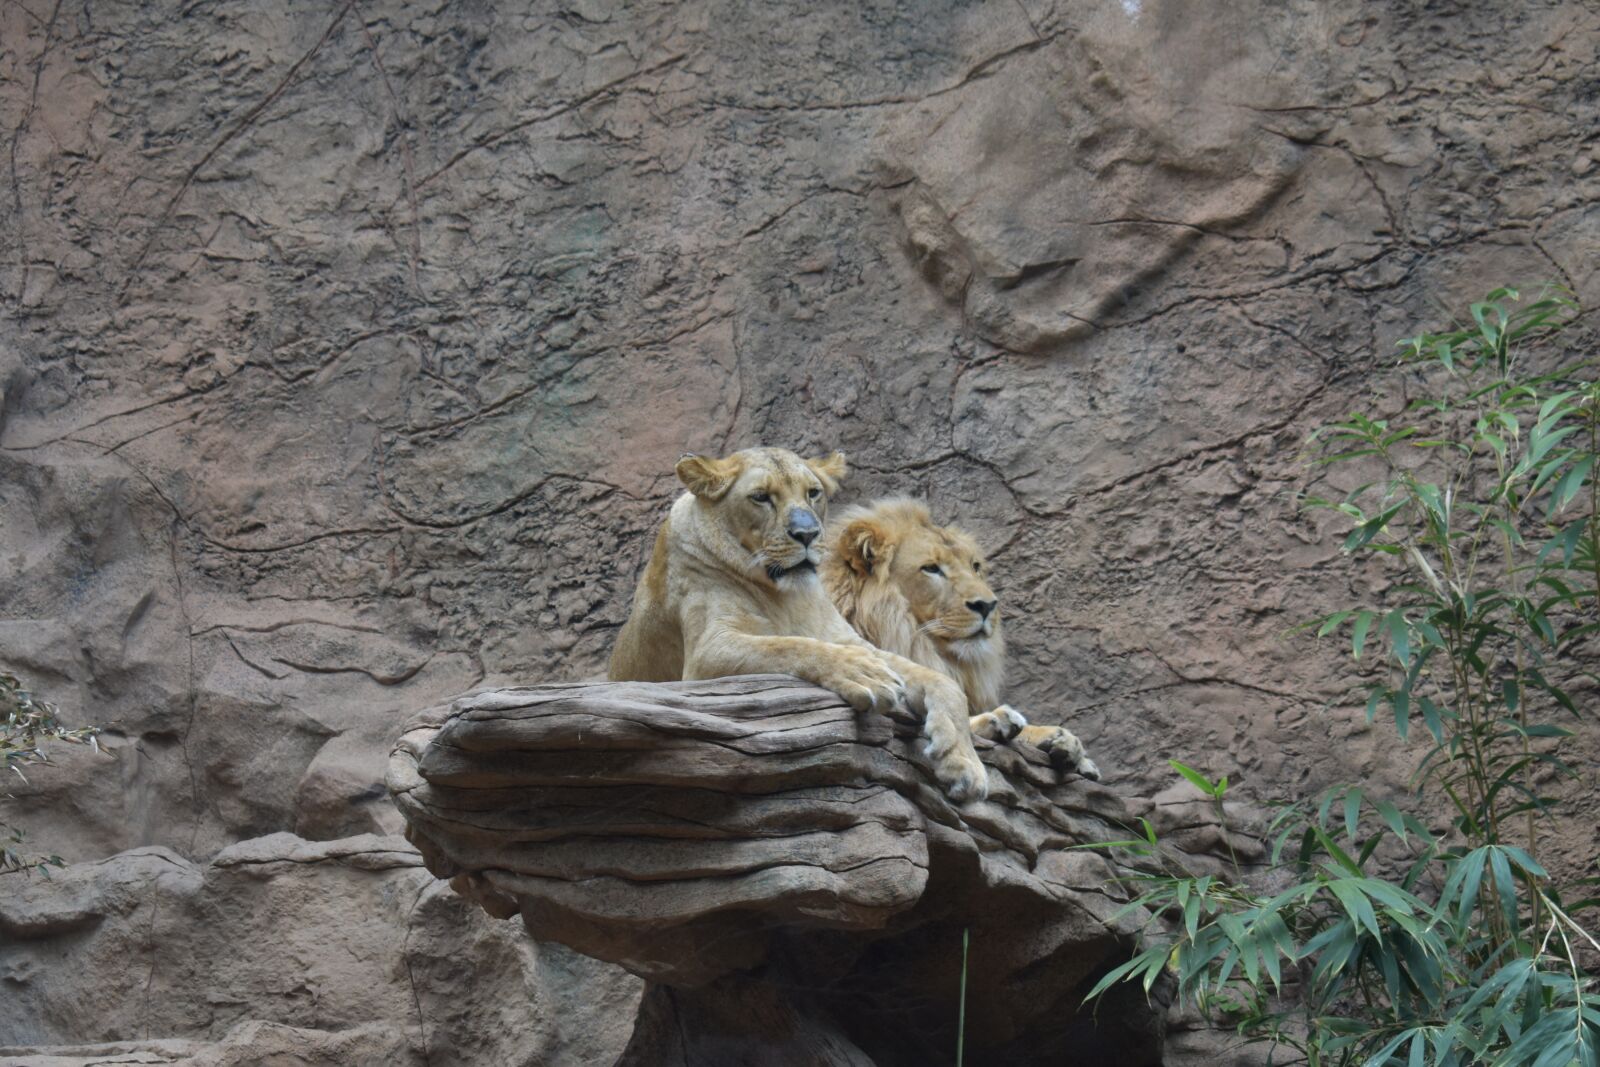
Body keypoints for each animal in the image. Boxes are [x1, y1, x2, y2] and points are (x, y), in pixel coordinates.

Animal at [609, 447, 989, 802]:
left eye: (813, 493)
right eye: (761, 497)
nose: (807, 534)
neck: (784, 595)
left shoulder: (852, 639)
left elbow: (940, 680)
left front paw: (964, 763)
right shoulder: (705, 654)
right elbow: (789, 645)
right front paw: (864, 674)